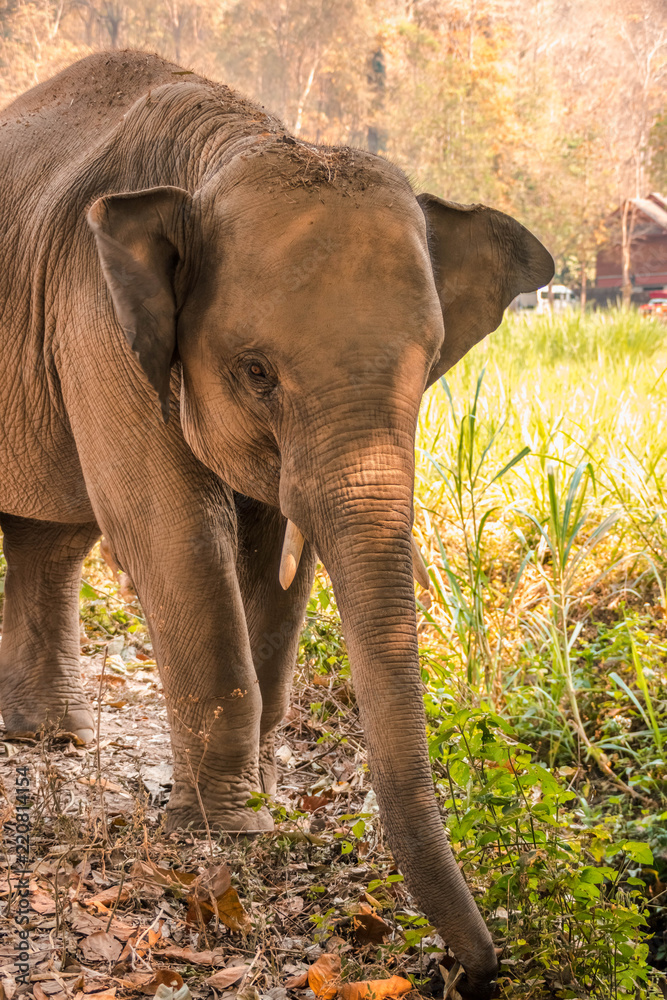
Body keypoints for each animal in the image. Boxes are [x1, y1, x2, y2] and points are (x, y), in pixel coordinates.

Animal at [0, 50, 553, 999]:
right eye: (256, 372)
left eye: (427, 368)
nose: (474, 973)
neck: (229, 147)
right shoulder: (95, 324)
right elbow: (173, 535)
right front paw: (227, 833)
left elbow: (275, 557)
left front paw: (253, 804)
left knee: (51, 537)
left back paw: (51, 737)